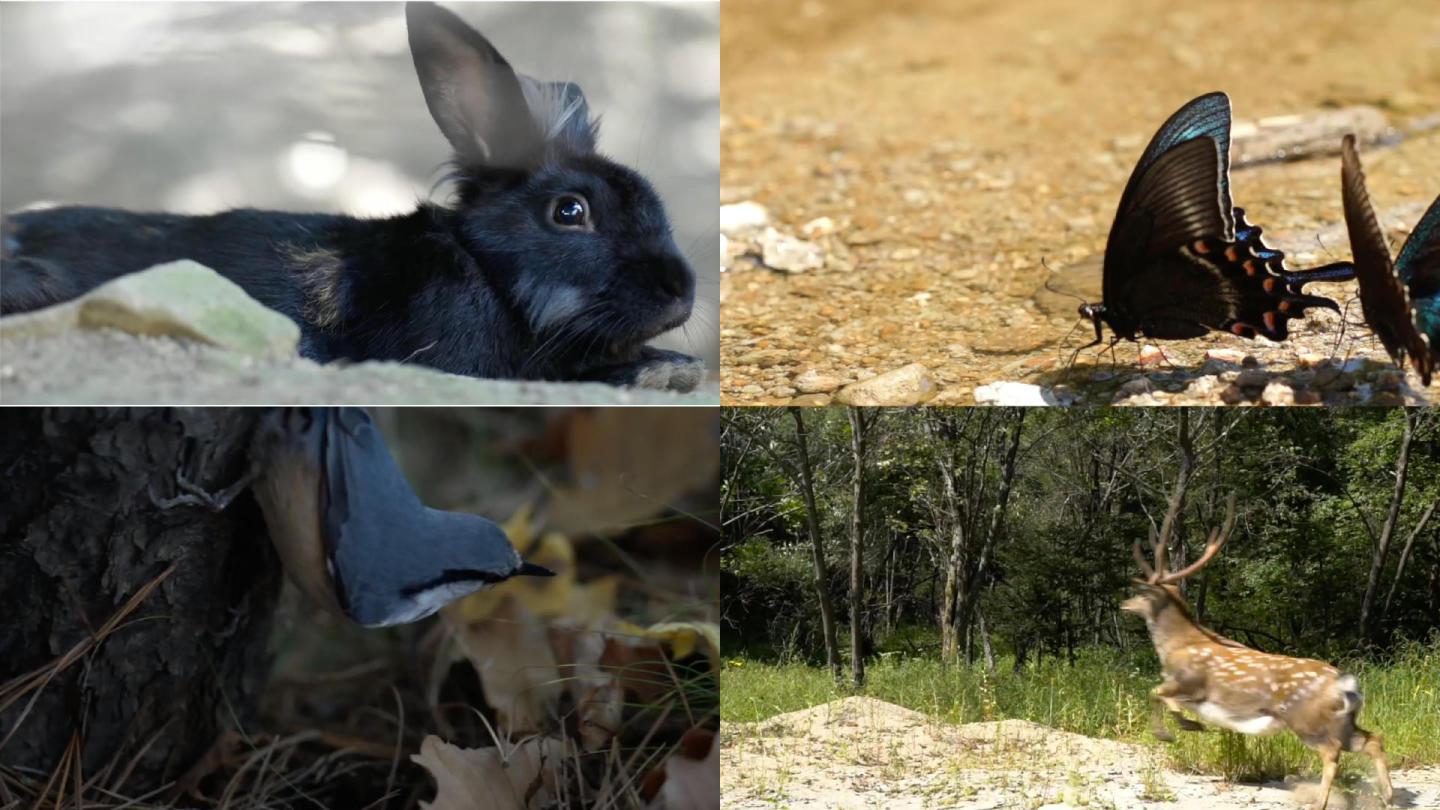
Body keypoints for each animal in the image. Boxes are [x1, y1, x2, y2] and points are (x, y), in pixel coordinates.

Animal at [1123, 495, 1393, 801]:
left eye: (1142, 593)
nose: (1124, 604)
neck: (1176, 646)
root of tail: (1346, 683)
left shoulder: (1187, 681)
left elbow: (1155, 693)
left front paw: (1177, 729)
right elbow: (1158, 694)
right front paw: (1186, 725)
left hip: (1306, 718)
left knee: (1331, 752)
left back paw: (1320, 802)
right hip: (1342, 720)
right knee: (1373, 739)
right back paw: (1388, 797)